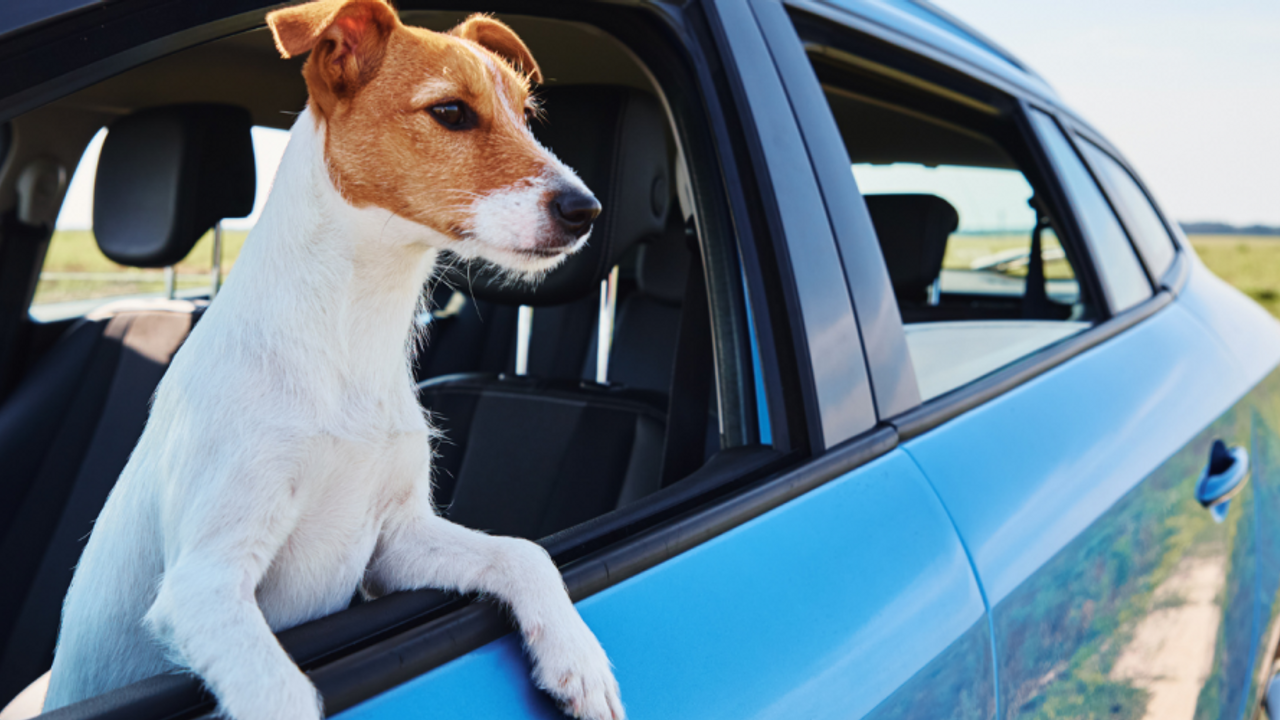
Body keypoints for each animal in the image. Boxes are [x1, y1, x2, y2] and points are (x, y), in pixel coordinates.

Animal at [36, 1, 624, 717]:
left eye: (528, 115)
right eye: (451, 112)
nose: (587, 209)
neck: (349, 332)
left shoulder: (394, 543)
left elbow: (523, 553)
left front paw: (579, 658)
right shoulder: (205, 582)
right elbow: (282, 691)